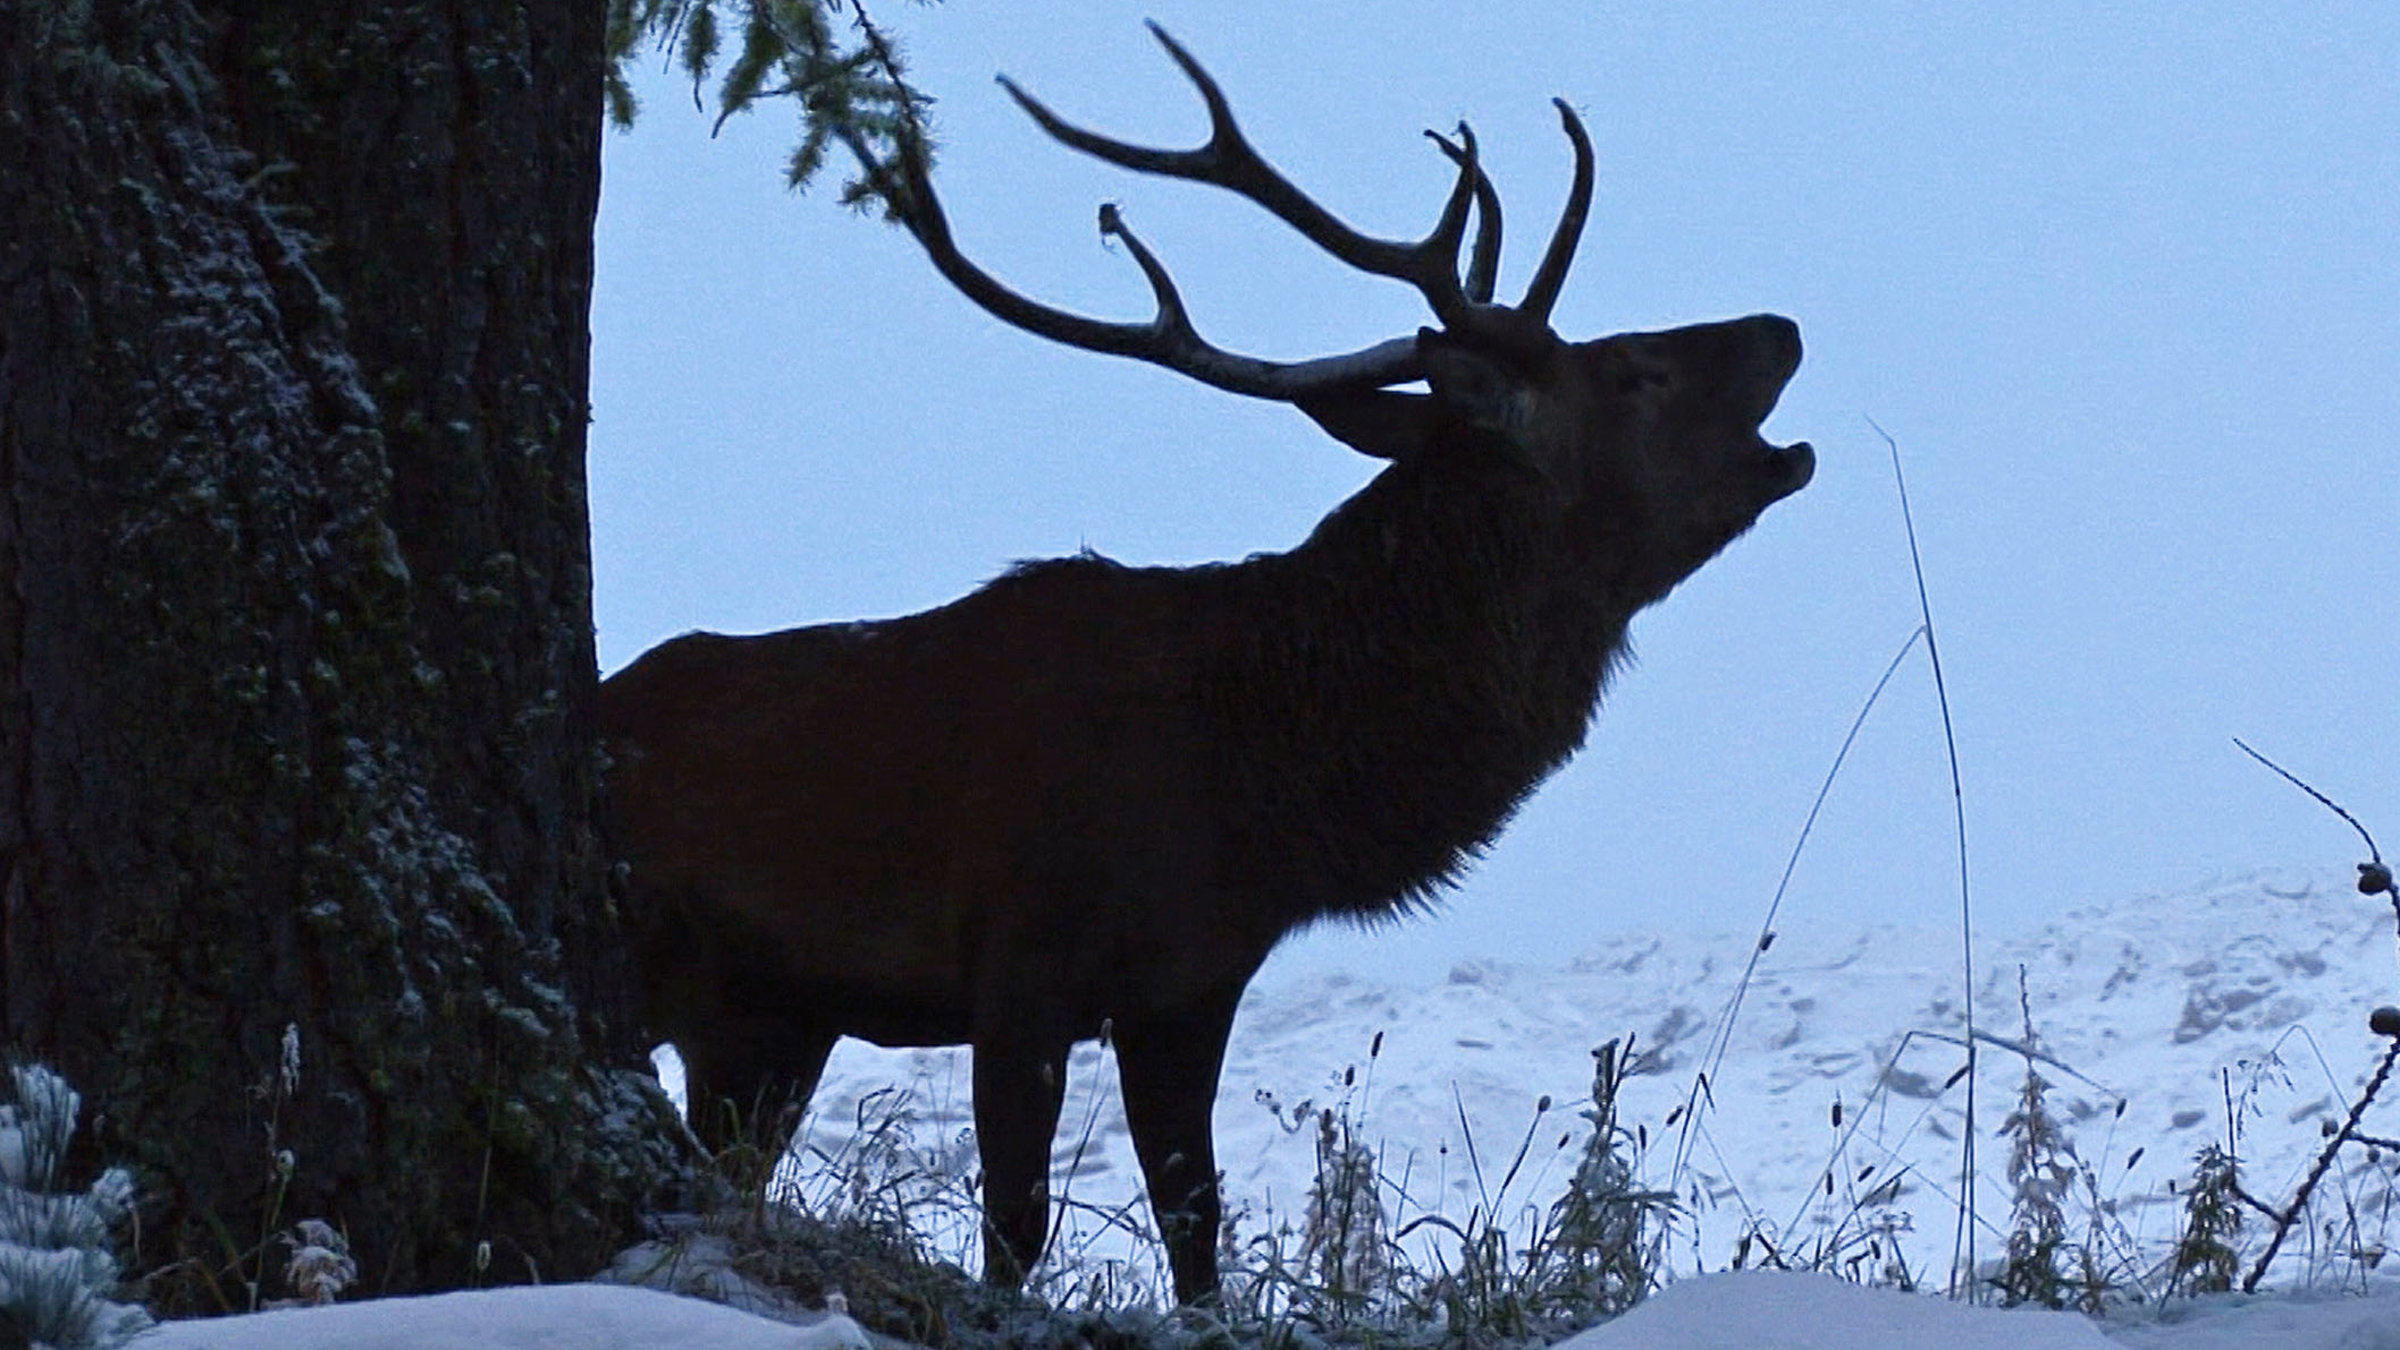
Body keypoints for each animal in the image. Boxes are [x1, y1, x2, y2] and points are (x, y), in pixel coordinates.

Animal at [598, 25, 1813, 1306]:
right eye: (1638, 373)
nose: (1782, 327)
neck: (1246, 792)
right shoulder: (1017, 958)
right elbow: (1016, 1228)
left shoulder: (1190, 985)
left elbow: (1195, 1219)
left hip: (764, 1025)